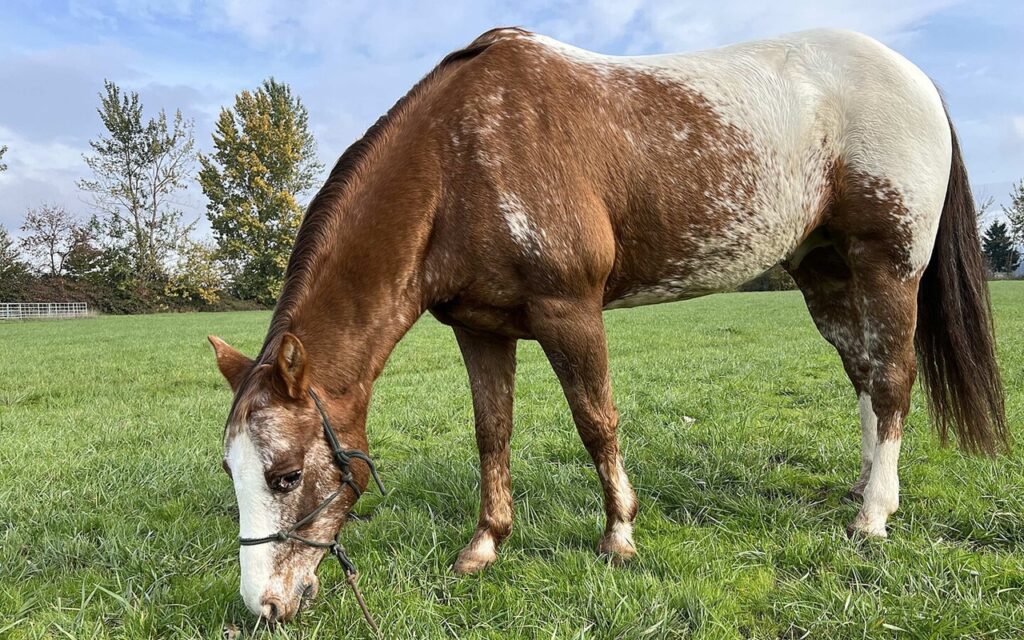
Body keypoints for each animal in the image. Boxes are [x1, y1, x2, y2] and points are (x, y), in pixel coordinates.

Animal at [208, 27, 1007, 622]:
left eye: (284, 476)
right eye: (230, 471)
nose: (264, 605)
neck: (462, 157)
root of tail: (916, 78)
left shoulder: (570, 310)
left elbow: (596, 421)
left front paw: (619, 535)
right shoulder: (480, 329)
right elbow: (492, 433)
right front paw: (485, 545)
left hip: (887, 272)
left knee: (894, 380)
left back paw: (872, 517)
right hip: (828, 276)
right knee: (866, 377)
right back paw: (866, 487)